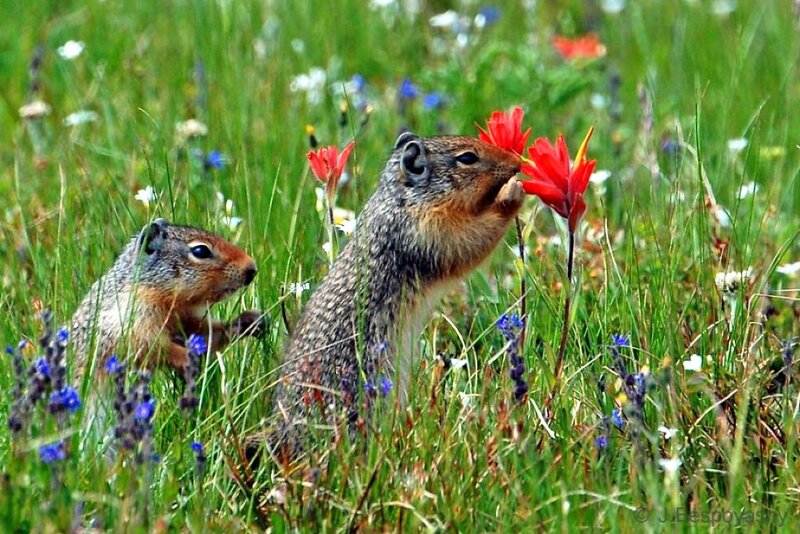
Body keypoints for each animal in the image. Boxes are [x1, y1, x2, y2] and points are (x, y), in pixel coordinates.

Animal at [70, 218, 264, 378]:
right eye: (201, 250)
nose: (252, 269)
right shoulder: (132, 322)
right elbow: (152, 348)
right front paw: (187, 359)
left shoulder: (186, 319)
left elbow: (208, 334)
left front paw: (250, 321)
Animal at [246, 132, 523, 460]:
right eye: (467, 157)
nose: (518, 164)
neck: (400, 199)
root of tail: (283, 433)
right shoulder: (425, 230)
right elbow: (468, 240)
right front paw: (512, 194)